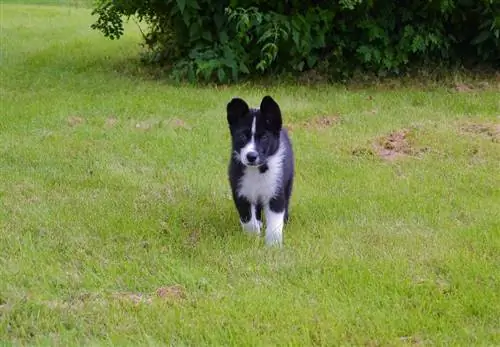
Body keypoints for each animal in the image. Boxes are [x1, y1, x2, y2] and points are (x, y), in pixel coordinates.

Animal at [226, 96, 292, 247]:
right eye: (242, 136)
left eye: (264, 137)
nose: (251, 156)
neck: (257, 170)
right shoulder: (241, 193)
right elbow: (248, 220)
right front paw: (252, 239)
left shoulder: (275, 192)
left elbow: (275, 222)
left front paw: (273, 245)